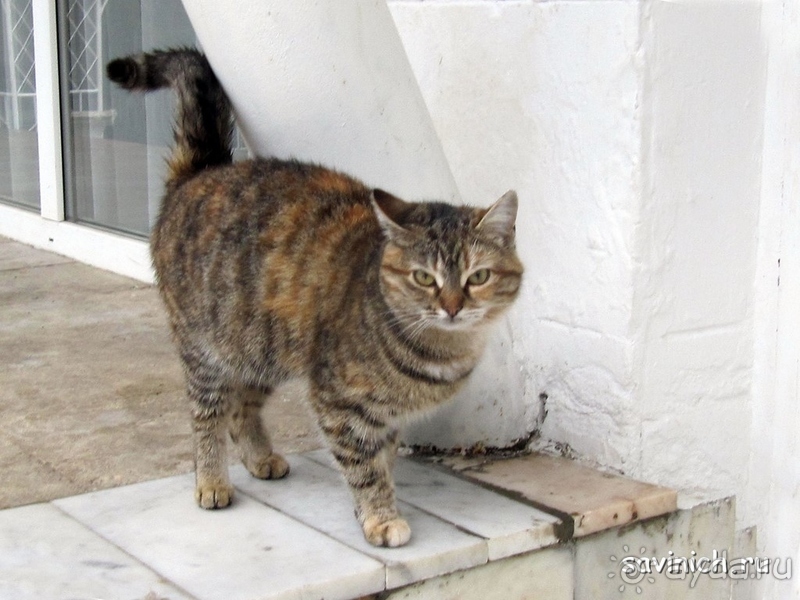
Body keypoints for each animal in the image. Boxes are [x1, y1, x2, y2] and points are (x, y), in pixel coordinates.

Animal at [106, 49, 520, 548]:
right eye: (424, 277)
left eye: (478, 276)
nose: (453, 306)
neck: (439, 350)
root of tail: (202, 172)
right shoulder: (339, 403)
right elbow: (363, 467)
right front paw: (380, 516)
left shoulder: (382, 415)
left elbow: (383, 459)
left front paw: (370, 508)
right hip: (207, 349)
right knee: (208, 414)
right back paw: (211, 480)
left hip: (262, 349)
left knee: (241, 406)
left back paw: (260, 458)